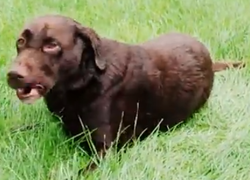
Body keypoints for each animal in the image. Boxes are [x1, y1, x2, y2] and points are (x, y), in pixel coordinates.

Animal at [5, 14, 244, 173]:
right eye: (20, 42)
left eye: (51, 45)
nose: (12, 74)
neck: (84, 82)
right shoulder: (60, 121)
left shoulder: (106, 150)